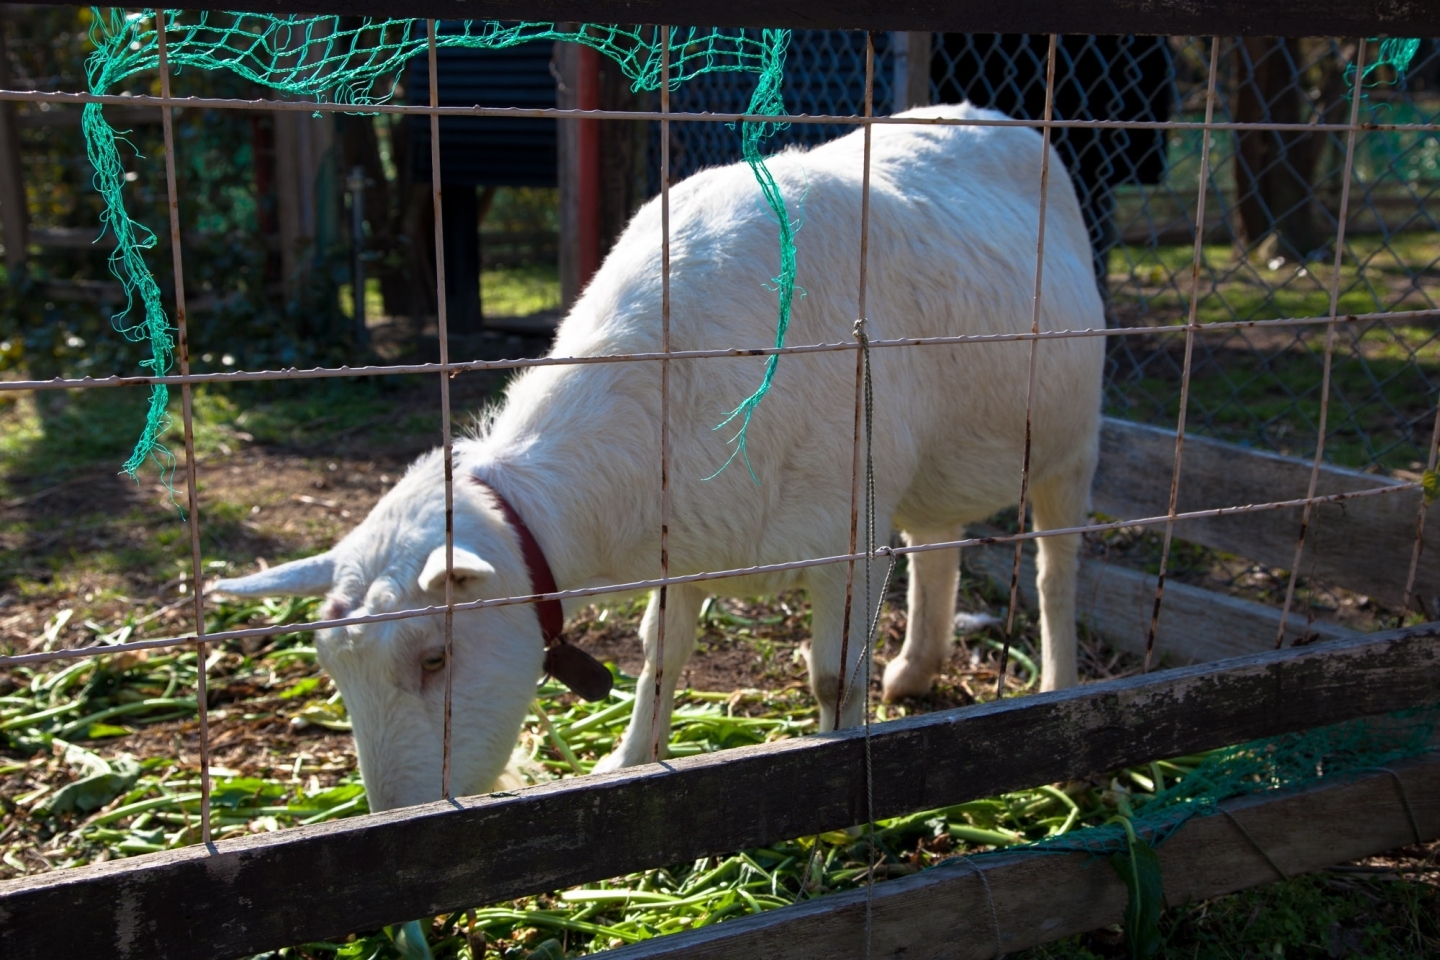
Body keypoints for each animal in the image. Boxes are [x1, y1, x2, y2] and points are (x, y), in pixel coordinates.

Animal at [216, 105, 1100, 811]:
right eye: (335, 673)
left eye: (435, 657)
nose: (397, 815)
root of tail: (991, 115)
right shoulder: (688, 542)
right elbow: (658, 659)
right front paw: (629, 760)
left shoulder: (847, 534)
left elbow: (831, 678)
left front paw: (838, 771)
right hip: (930, 463)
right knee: (936, 541)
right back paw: (915, 669)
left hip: (1071, 442)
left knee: (1056, 569)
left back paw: (1057, 685)